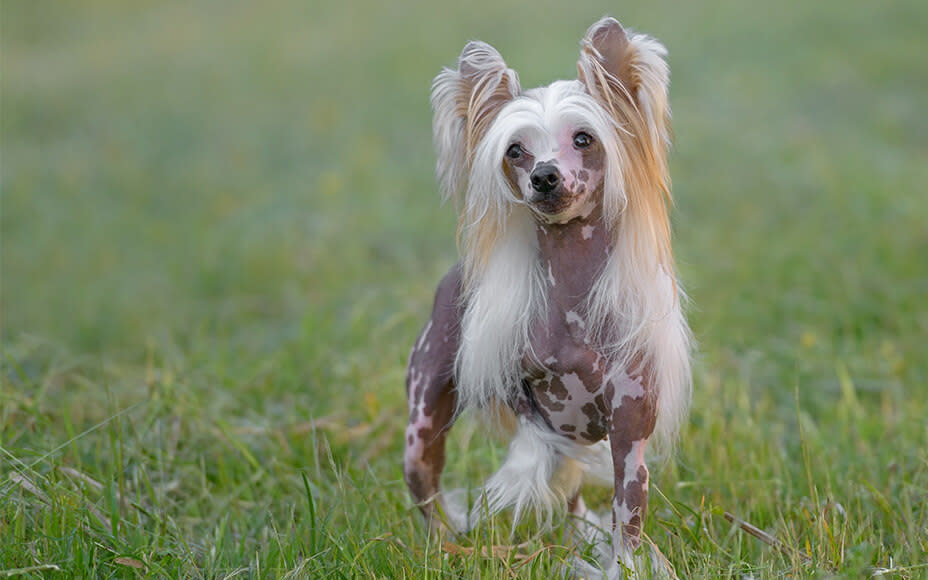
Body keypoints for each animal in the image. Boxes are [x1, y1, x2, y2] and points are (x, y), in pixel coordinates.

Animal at [402, 17, 692, 576]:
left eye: (583, 138)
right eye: (515, 150)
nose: (544, 176)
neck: (572, 300)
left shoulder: (629, 432)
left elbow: (628, 515)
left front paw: (619, 562)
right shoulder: (536, 412)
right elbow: (541, 456)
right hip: (421, 419)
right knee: (426, 489)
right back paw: (445, 548)